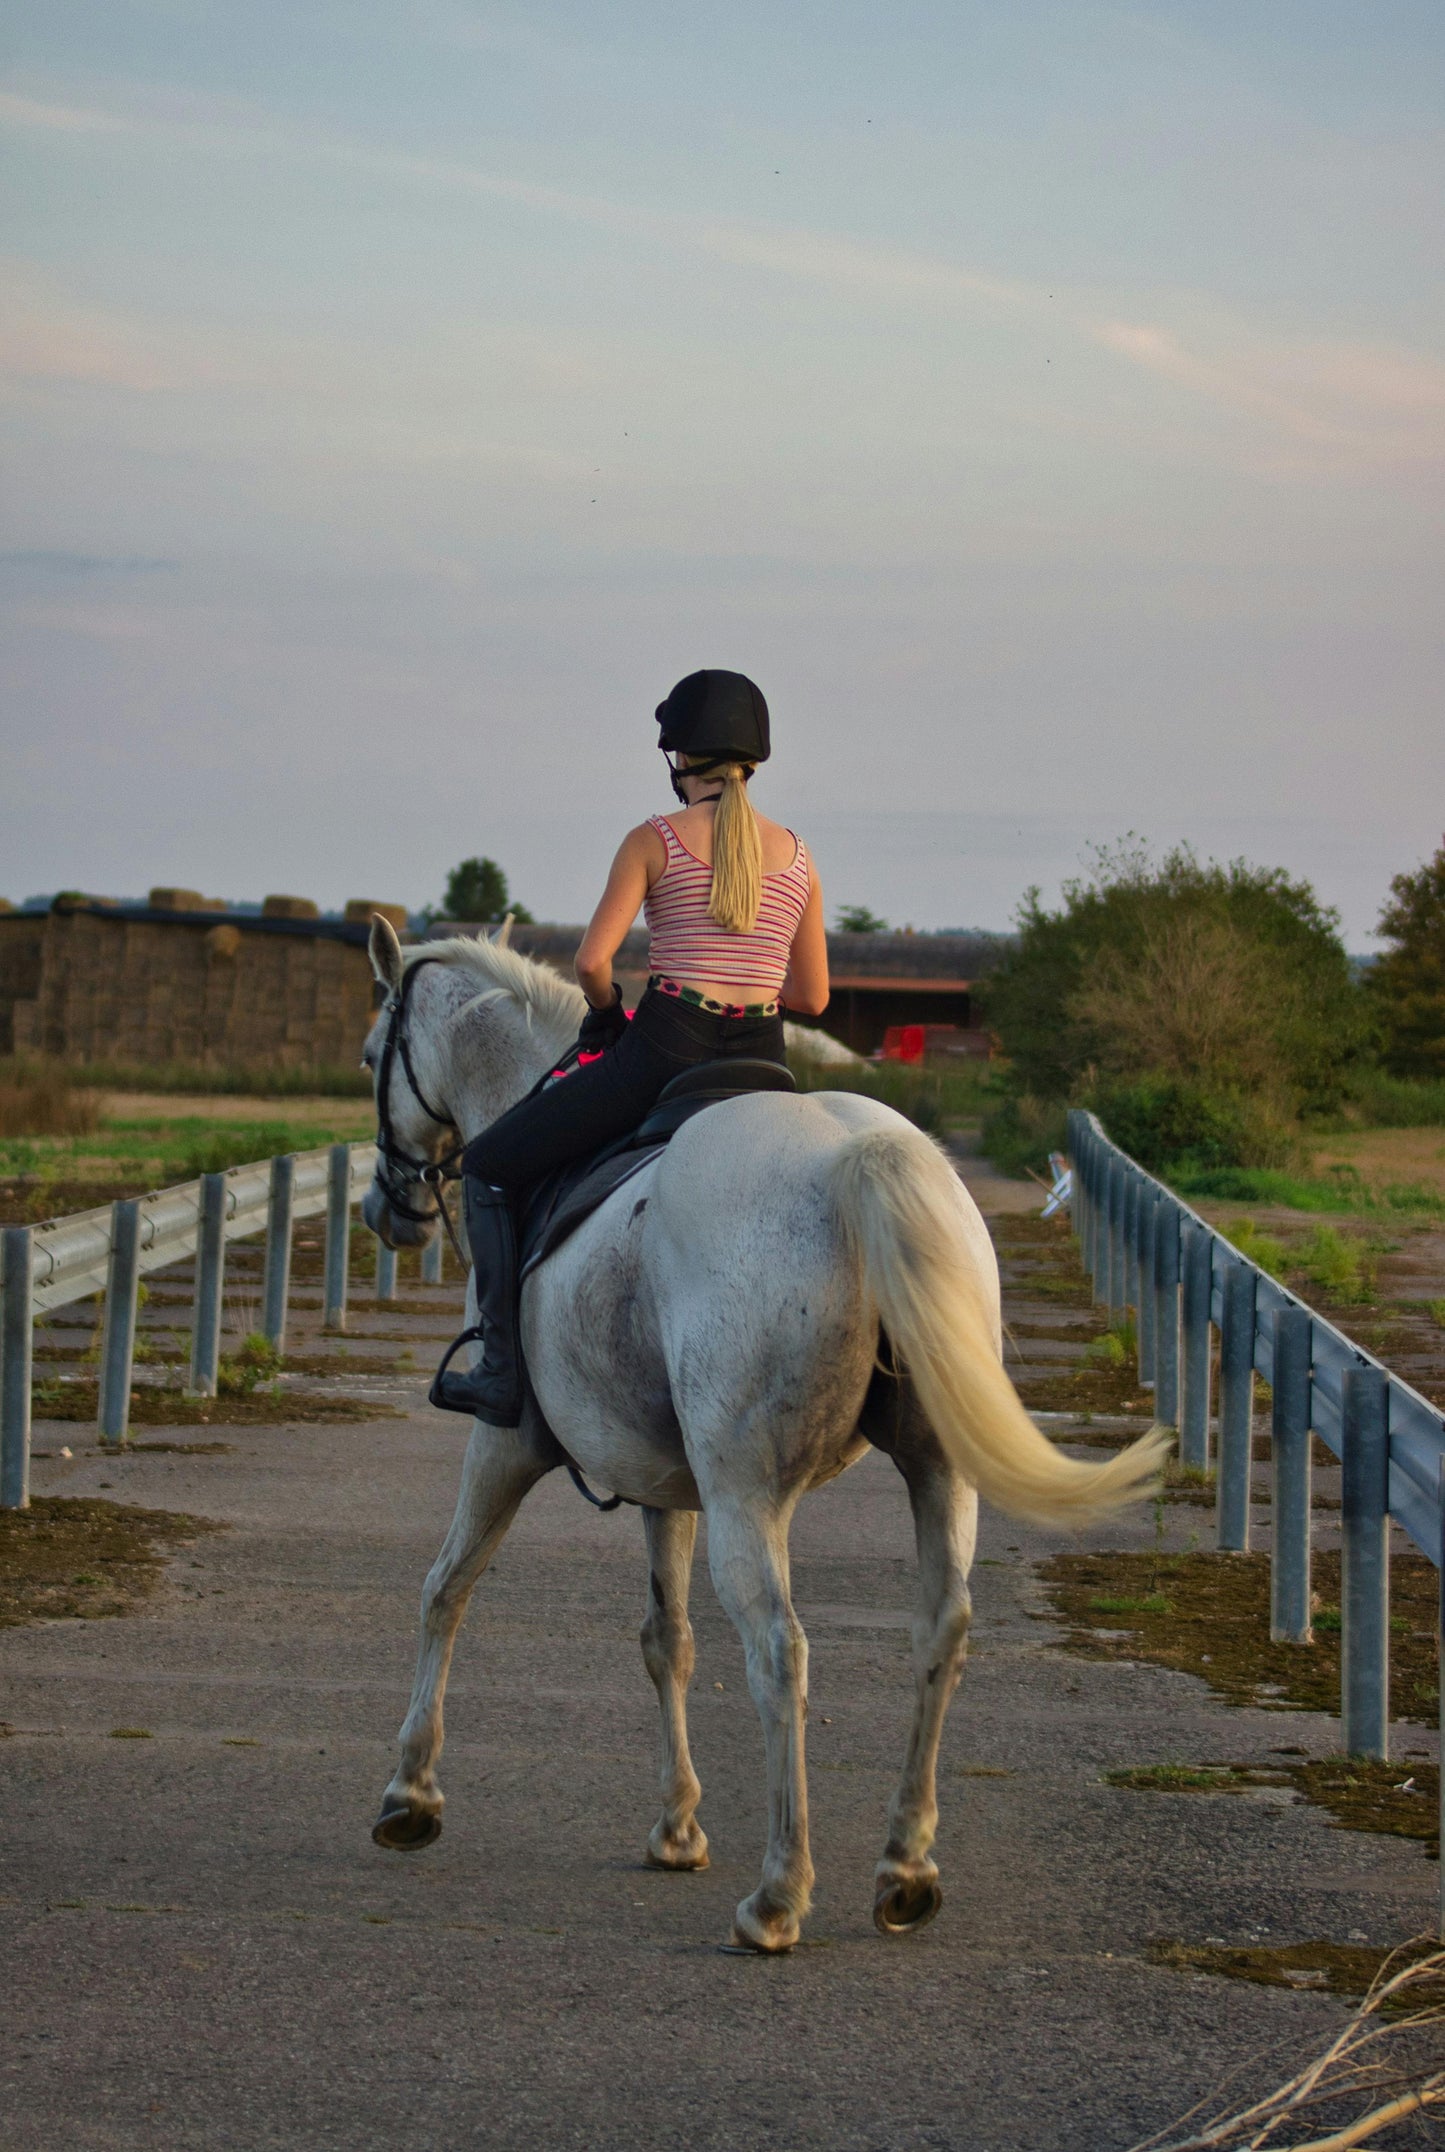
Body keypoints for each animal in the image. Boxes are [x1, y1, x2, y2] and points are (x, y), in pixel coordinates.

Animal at [360, 917, 1166, 1953]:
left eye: (372, 1056)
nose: (388, 1211)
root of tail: (856, 1156)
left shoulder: (507, 1447)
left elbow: (446, 1588)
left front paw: (410, 1791)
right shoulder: (666, 1484)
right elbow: (666, 1640)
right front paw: (676, 1826)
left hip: (748, 1493)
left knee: (780, 1651)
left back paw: (779, 1894)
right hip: (933, 1471)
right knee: (939, 1629)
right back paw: (903, 1868)